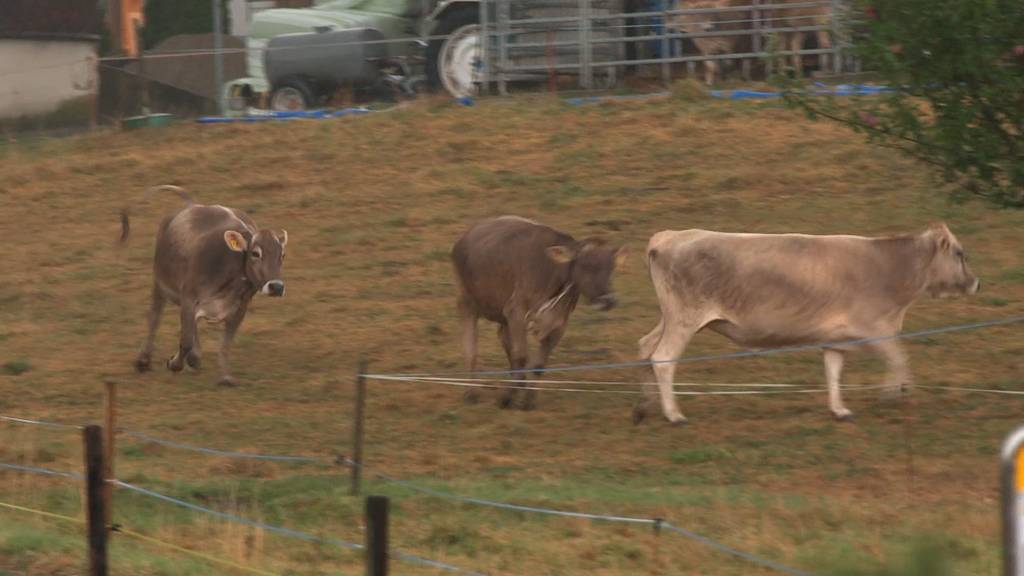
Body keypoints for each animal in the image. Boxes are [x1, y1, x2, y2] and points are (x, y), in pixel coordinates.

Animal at [119, 185, 289, 386]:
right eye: (255, 253)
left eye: (282, 255)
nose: (276, 286)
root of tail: (192, 205)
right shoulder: (188, 297)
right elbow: (185, 340)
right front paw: (174, 364)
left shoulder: (240, 307)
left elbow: (225, 343)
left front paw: (225, 376)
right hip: (160, 282)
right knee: (154, 316)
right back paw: (144, 361)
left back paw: (195, 357)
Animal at [450, 216, 627, 410]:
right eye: (586, 264)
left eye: (611, 267)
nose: (608, 300)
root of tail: (466, 236)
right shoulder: (516, 311)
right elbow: (521, 357)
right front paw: (506, 397)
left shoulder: (559, 323)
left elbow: (538, 364)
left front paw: (527, 400)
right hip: (466, 302)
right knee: (471, 348)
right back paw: (471, 393)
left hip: (503, 315)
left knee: (505, 342)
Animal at [635, 222, 980, 425]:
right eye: (960, 253)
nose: (976, 283)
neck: (891, 267)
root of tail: (670, 236)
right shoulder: (876, 328)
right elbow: (899, 358)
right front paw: (895, 392)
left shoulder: (837, 337)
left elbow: (833, 372)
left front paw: (839, 409)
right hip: (685, 318)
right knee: (663, 358)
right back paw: (673, 414)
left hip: (671, 317)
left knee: (646, 347)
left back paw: (644, 407)